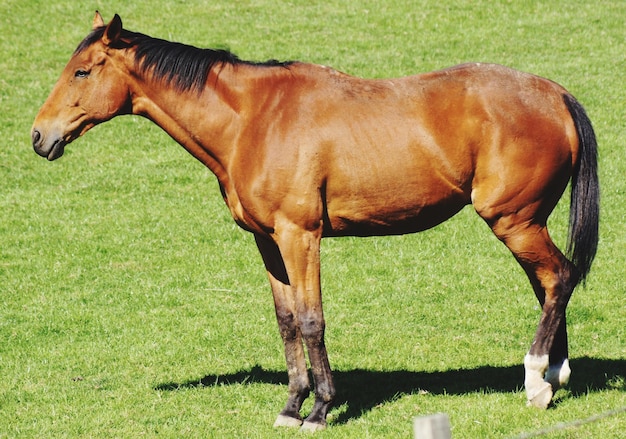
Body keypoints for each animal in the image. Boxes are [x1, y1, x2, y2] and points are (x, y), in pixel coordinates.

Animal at [31, 12, 596, 432]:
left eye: (82, 72)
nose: (39, 136)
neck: (253, 119)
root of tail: (555, 94)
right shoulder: (267, 241)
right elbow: (286, 321)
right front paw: (291, 405)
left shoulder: (299, 236)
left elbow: (311, 319)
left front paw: (321, 409)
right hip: (524, 224)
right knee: (551, 284)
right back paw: (556, 373)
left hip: (514, 222)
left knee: (558, 278)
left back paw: (537, 381)